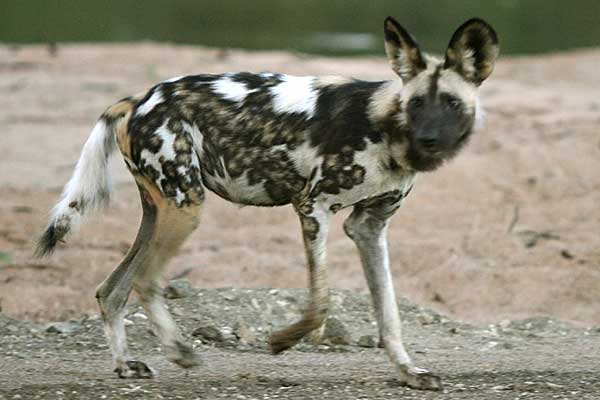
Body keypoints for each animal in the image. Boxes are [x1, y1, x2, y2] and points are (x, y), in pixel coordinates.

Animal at [35, 17, 500, 390]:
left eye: (451, 104)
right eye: (417, 103)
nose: (429, 140)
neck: (386, 125)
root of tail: (138, 98)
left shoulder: (369, 227)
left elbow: (389, 313)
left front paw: (409, 373)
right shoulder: (312, 207)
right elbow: (320, 304)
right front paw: (281, 341)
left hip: (162, 209)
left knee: (112, 289)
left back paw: (126, 365)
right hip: (186, 207)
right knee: (147, 280)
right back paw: (180, 351)